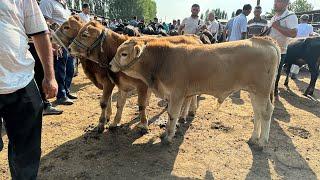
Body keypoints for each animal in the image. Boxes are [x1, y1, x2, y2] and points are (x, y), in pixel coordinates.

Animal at [109, 36, 280, 149]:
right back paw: (253, 138)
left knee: (266, 112)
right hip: (254, 91)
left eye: (124, 54)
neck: (164, 60)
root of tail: (263, 41)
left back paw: (262, 142)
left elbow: (172, 115)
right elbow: (171, 115)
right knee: (257, 112)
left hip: (262, 91)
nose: (110, 65)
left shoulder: (177, 94)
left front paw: (168, 136)